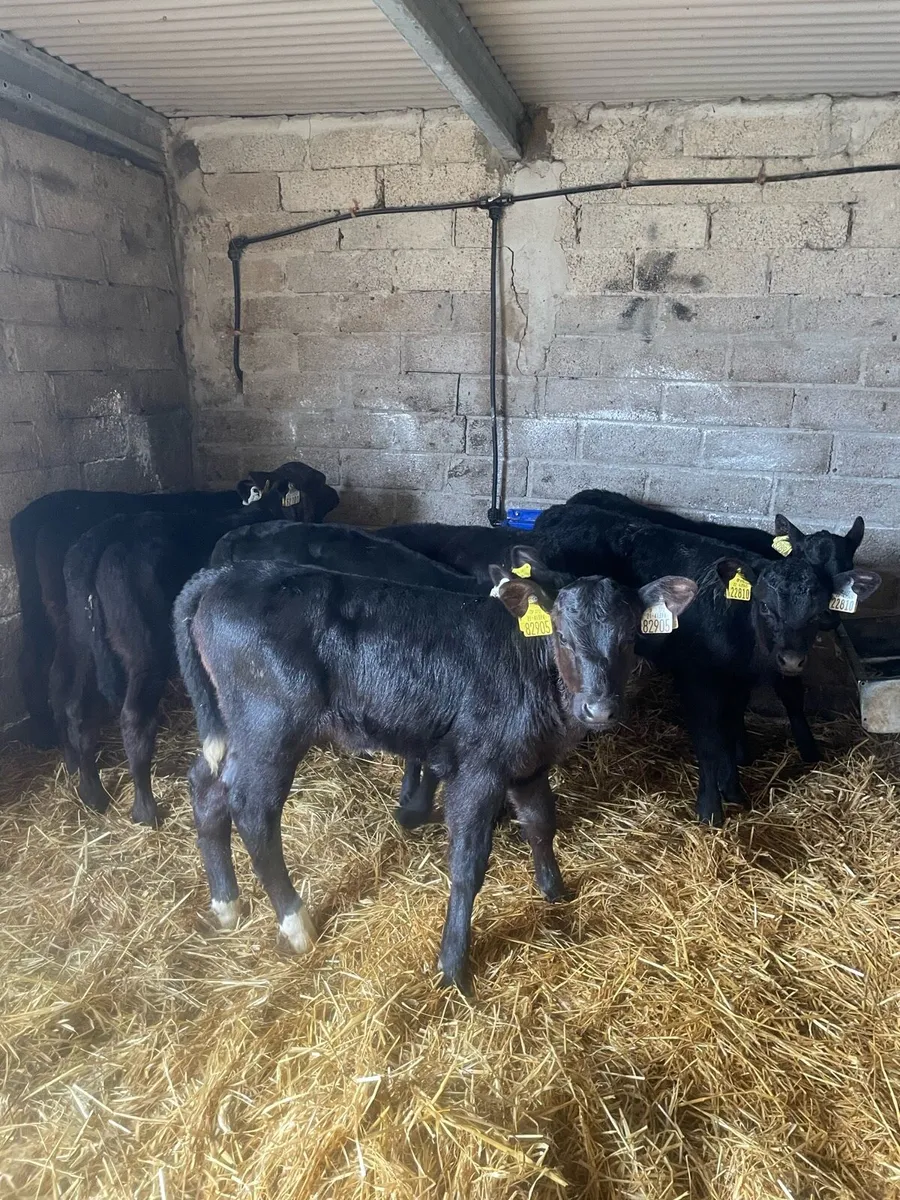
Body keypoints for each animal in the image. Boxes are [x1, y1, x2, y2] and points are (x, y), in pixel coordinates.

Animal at [174, 552, 697, 991]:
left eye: (629, 640)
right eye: (563, 637)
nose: (600, 708)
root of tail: (225, 574)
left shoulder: (527, 762)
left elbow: (541, 823)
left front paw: (554, 891)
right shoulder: (478, 769)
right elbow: (468, 864)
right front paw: (453, 965)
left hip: (237, 729)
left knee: (207, 787)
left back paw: (226, 903)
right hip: (270, 726)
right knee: (252, 809)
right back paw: (296, 923)